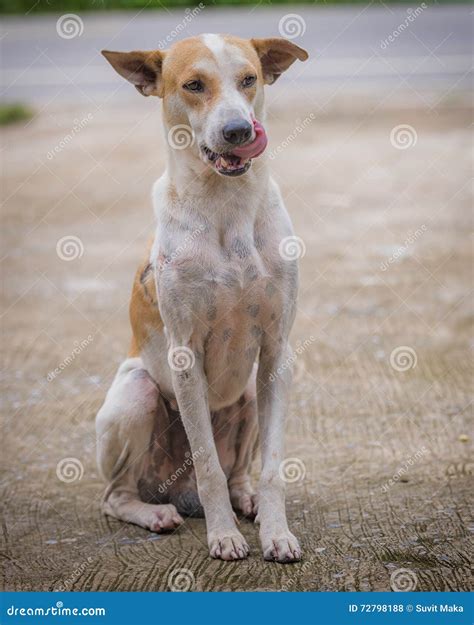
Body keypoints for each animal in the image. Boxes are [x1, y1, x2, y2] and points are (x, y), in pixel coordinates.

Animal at [97, 33, 308, 560]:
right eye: (194, 85)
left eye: (249, 78)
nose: (238, 130)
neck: (226, 204)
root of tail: (178, 491)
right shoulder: (185, 355)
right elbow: (208, 463)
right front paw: (224, 537)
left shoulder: (277, 351)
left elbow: (271, 467)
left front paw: (277, 533)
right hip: (138, 392)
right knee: (116, 495)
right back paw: (154, 514)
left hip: (251, 390)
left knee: (238, 475)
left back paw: (248, 502)